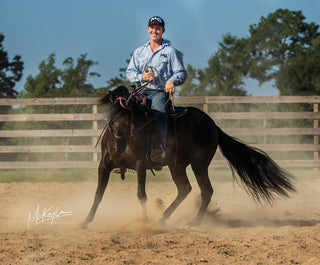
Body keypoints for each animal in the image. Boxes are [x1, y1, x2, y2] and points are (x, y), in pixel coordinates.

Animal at [81, 86, 296, 227]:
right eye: (111, 118)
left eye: (129, 120)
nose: (118, 148)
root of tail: (212, 124)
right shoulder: (103, 166)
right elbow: (98, 193)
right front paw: (85, 221)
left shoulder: (141, 164)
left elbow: (141, 194)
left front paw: (145, 222)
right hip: (177, 166)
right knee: (185, 188)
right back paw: (164, 218)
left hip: (199, 164)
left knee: (205, 190)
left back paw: (194, 221)